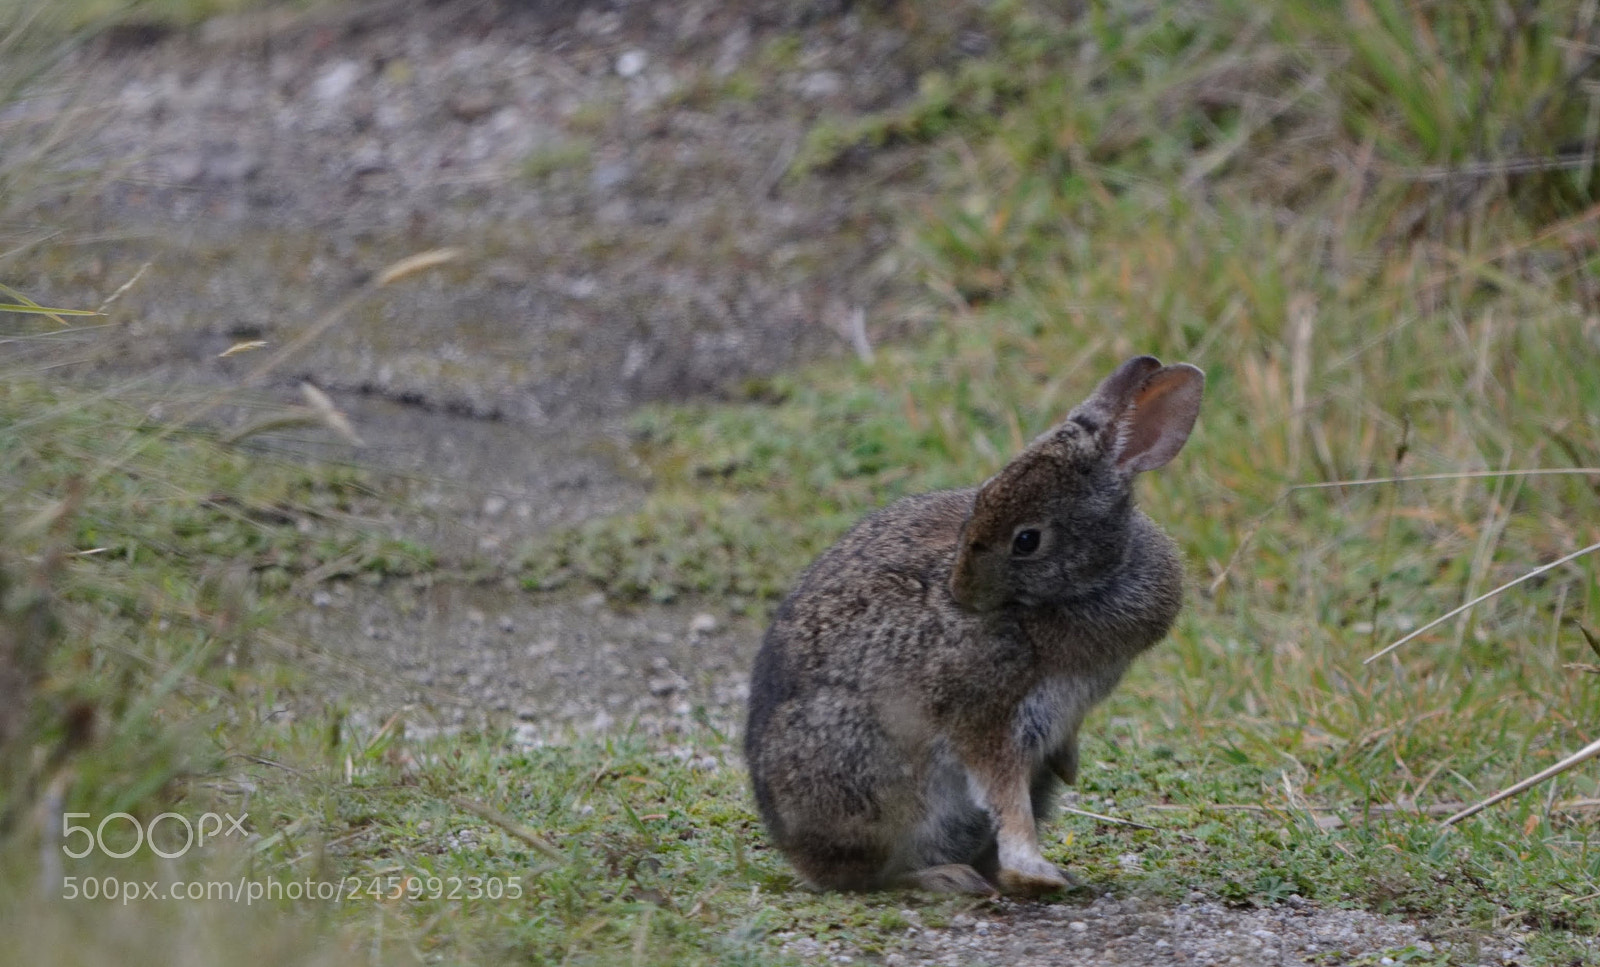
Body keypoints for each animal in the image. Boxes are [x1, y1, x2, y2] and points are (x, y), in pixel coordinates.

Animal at [744, 355, 1204, 897]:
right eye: (979, 500)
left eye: (1027, 540)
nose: (960, 589)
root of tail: (795, 849)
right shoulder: (985, 715)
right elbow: (1005, 796)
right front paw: (1037, 870)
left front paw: (1069, 771)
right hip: (879, 784)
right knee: (875, 873)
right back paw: (947, 876)